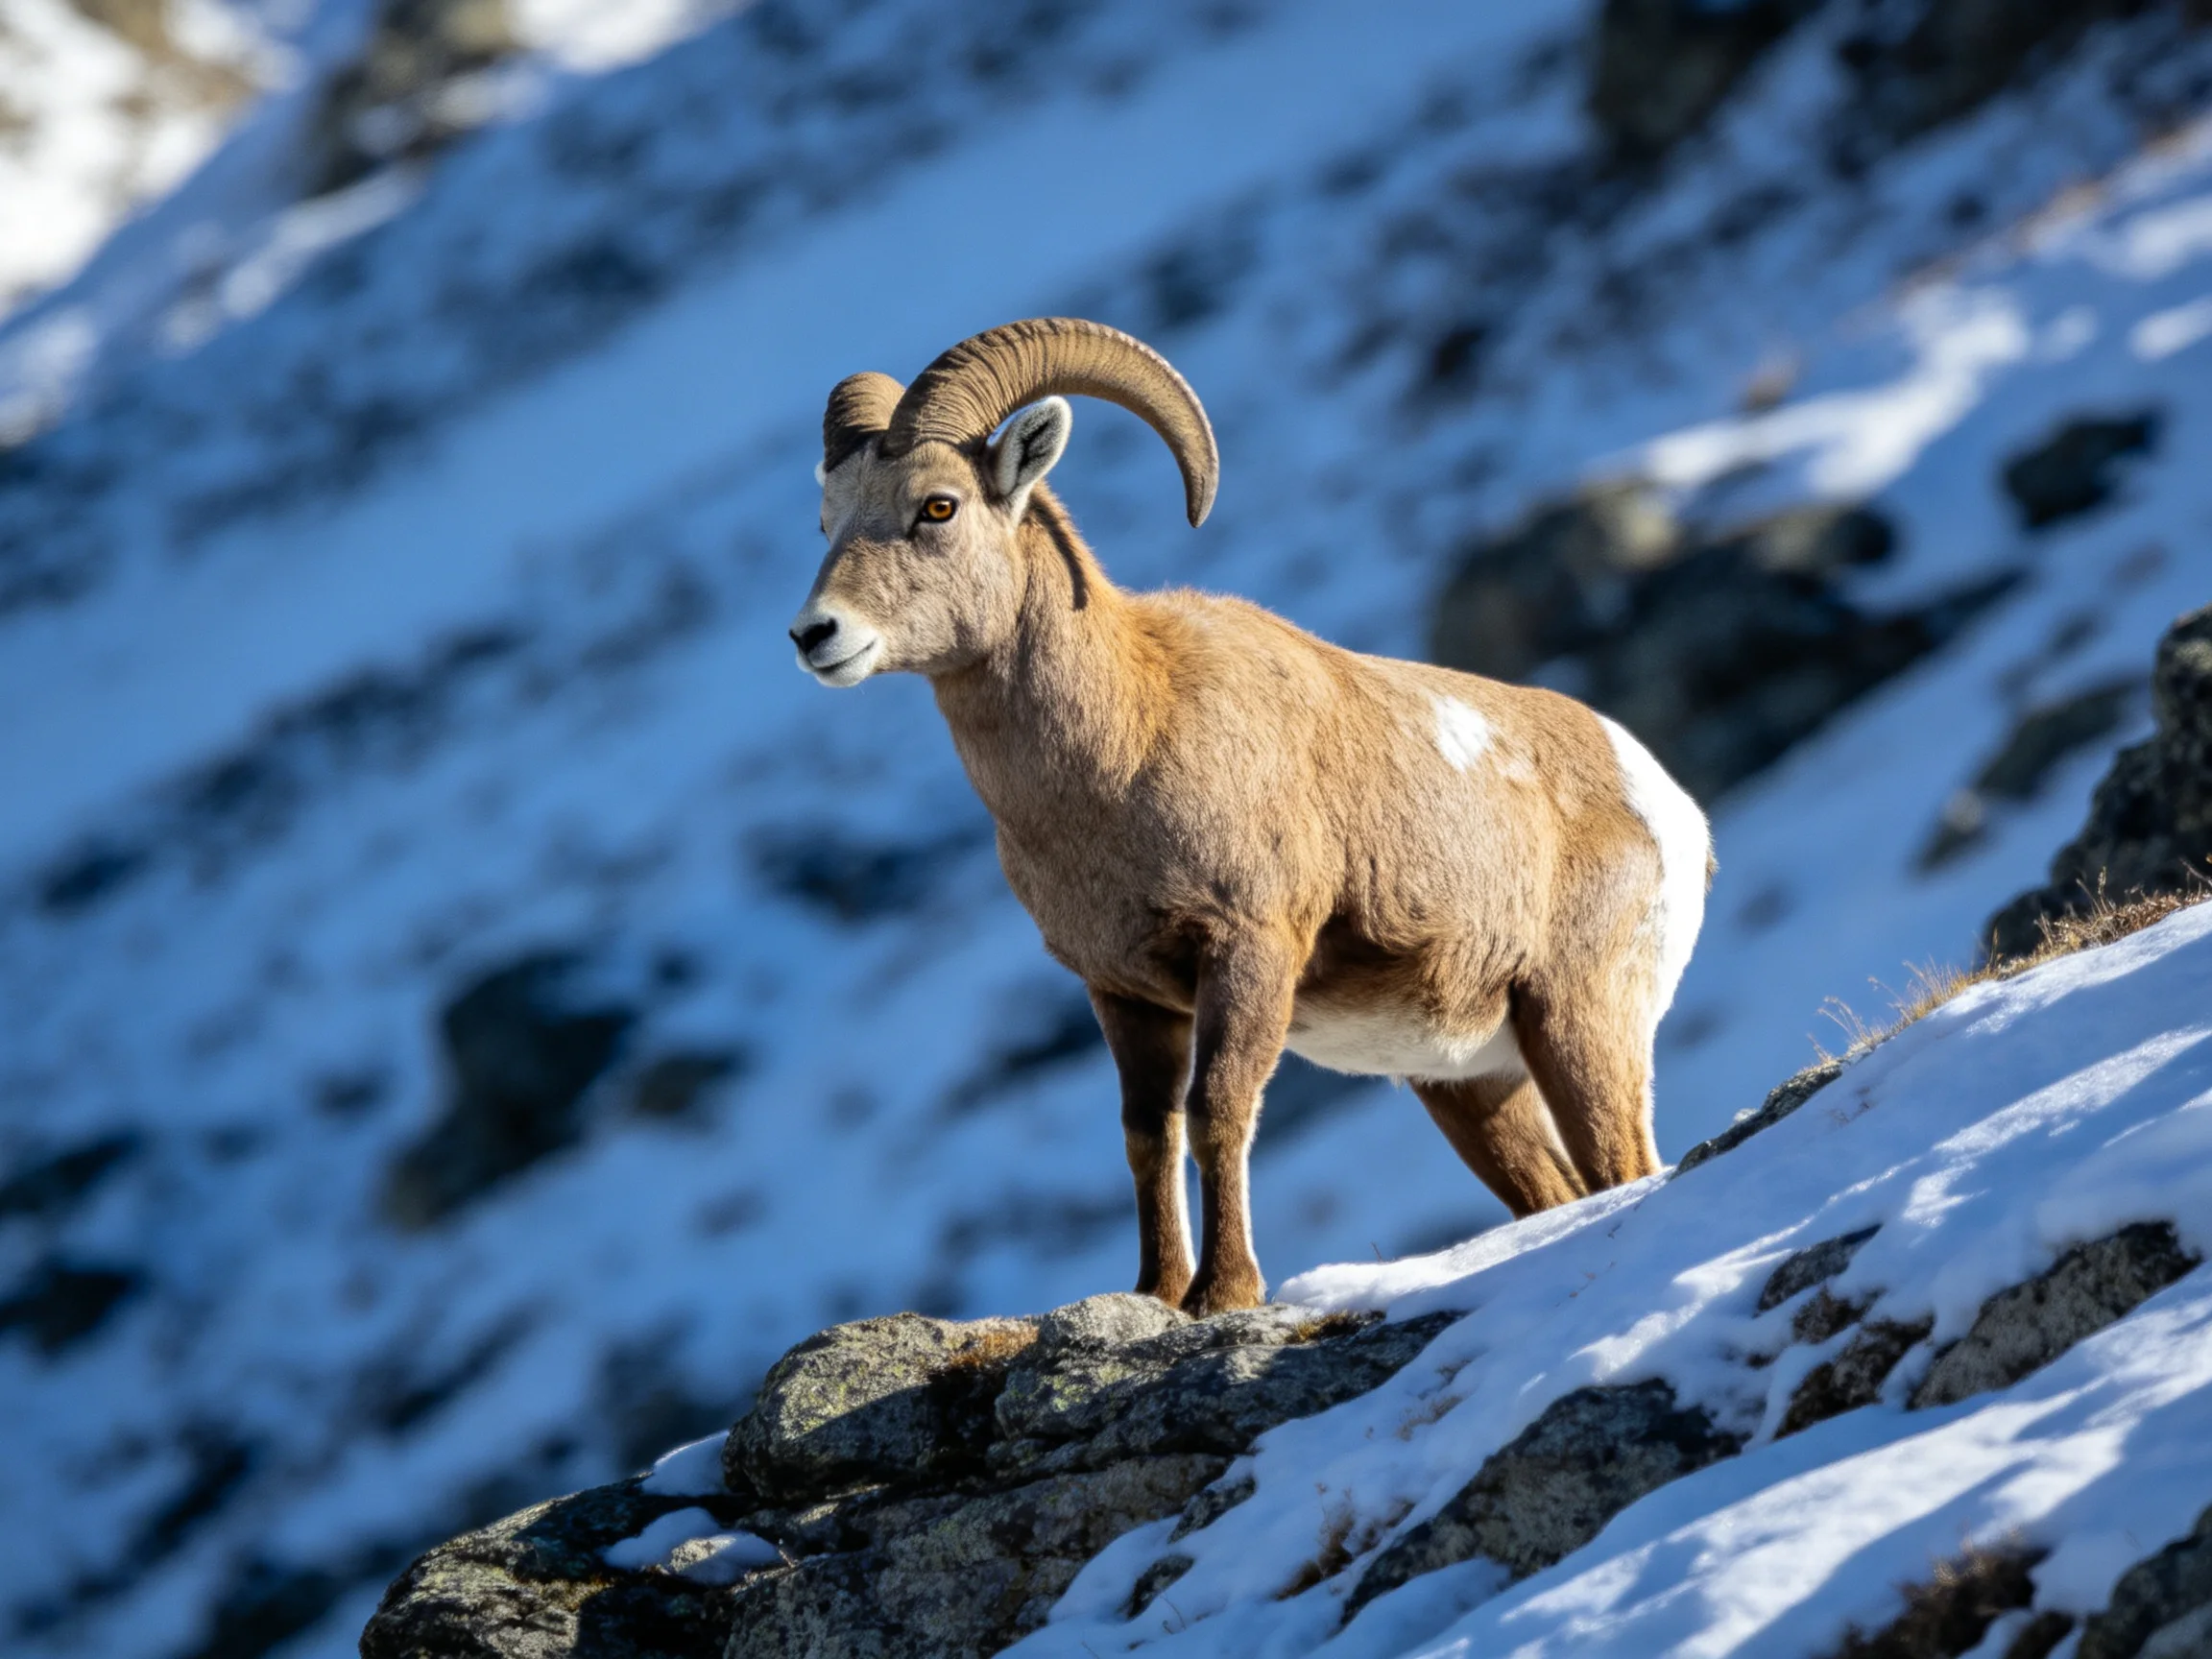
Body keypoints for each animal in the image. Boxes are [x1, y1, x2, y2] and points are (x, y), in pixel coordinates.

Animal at [789, 317, 1712, 1315]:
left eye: (938, 506)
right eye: (828, 521)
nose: (817, 636)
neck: (1131, 740)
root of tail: (1672, 811)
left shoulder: (1250, 951)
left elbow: (1218, 1109)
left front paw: (1224, 1293)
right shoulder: (1122, 993)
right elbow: (1147, 1132)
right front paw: (1157, 1292)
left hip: (1580, 1026)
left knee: (1624, 1165)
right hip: (1471, 1083)